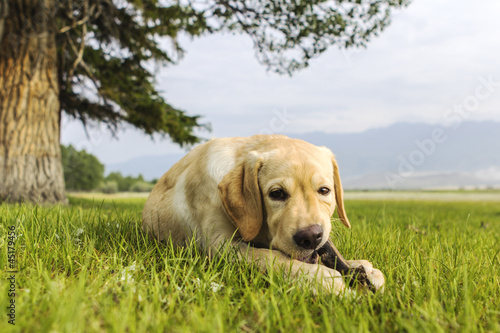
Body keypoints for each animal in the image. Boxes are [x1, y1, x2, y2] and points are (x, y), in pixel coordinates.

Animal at [143, 134, 384, 294]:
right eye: (276, 193)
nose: (310, 237)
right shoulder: (219, 246)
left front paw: (360, 268)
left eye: (324, 191)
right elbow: (268, 257)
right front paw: (321, 278)